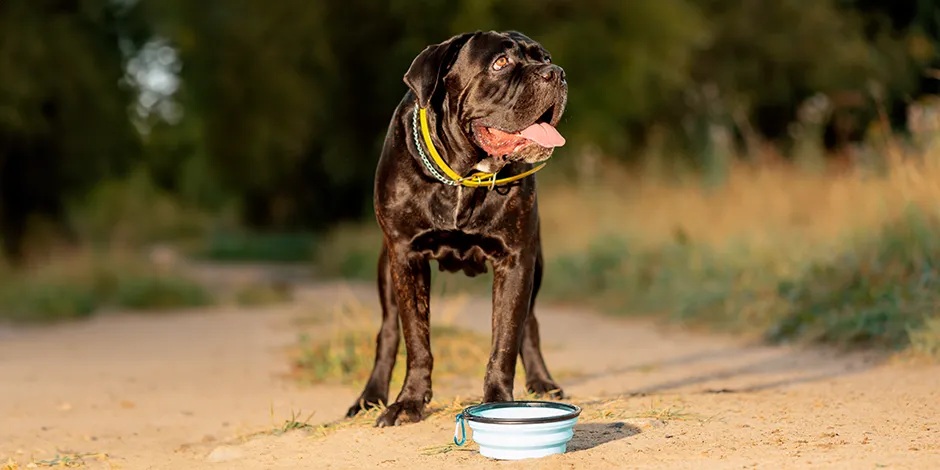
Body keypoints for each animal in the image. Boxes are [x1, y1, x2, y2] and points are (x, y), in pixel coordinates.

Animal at [346, 29, 564, 426]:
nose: (555, 73)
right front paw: (408, 403)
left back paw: (542, 381)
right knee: (388, 330)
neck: (464, 175)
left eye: (544, 58)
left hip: (536, 263)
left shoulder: (516, 260)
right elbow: (416, 339)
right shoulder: (407, 257)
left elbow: (505, 338)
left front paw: (498, 401)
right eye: (500, 63)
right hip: (386, 268)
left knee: (530, 323)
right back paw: (369, 396)